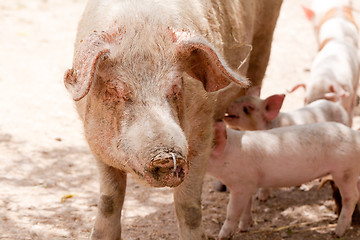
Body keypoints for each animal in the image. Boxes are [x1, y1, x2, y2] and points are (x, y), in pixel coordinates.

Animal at [63, 0, 282, 238]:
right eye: (115, 89)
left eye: (176, 86)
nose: (165, 155)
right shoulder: (96, 145)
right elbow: (109, 201)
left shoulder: (202, 132)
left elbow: (188, 206)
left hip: (264, 38)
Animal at [208, 122, 360, 238]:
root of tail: (355, 134)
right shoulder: (249, 185)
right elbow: (246, 207)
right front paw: (243, 229)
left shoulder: (241, 186)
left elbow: (232, 211)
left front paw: (221, 236)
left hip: (344, 170)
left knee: (351, 197)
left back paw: (337, 233)